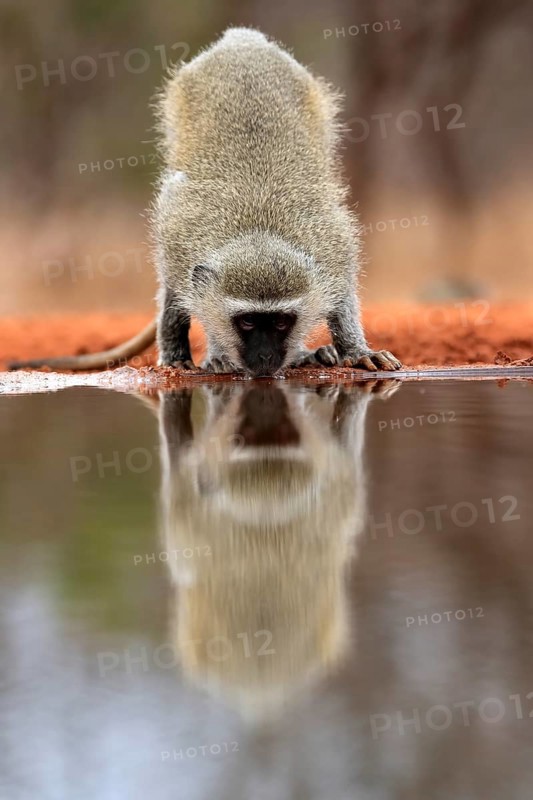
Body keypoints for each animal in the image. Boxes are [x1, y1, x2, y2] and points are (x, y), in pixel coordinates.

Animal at [9, 28, 401, 376]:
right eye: (247, 323)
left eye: (280, 323)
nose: (264, 360)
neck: (258, 230)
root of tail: (242, 39)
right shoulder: (178, 242)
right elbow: (181, 296)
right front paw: (200, 355)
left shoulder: (335, 251)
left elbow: (341, 296)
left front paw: (355, 351)